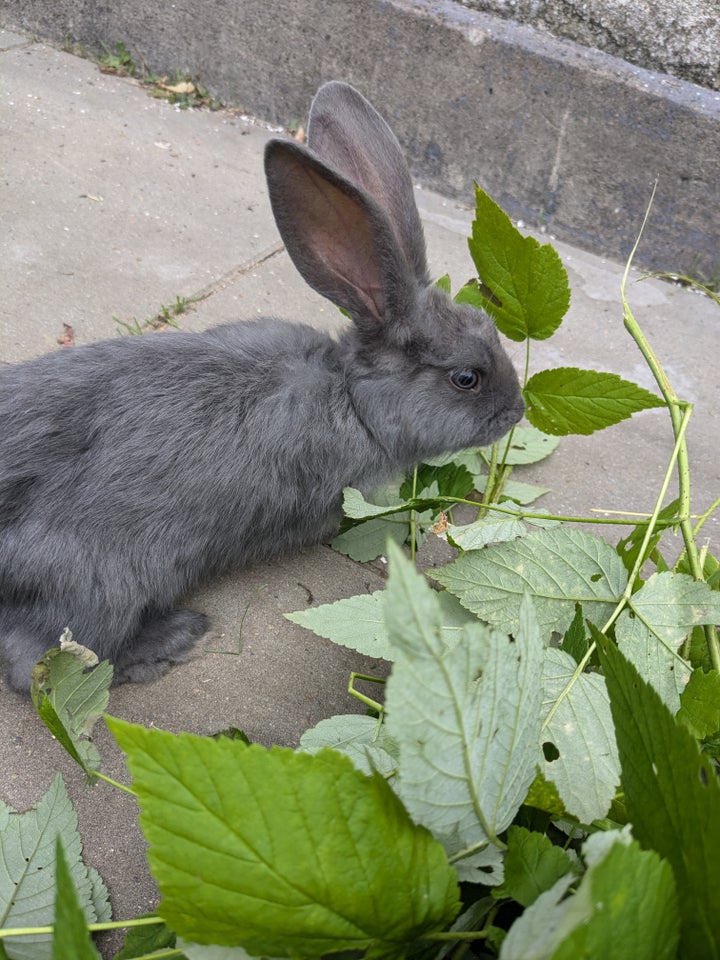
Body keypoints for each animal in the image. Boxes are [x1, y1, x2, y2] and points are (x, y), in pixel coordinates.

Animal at [0, 80, 524, 688]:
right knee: (41, 661)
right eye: (467, 378)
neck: (351, 397)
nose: (516, 410)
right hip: (106, 582)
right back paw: (173, 638)